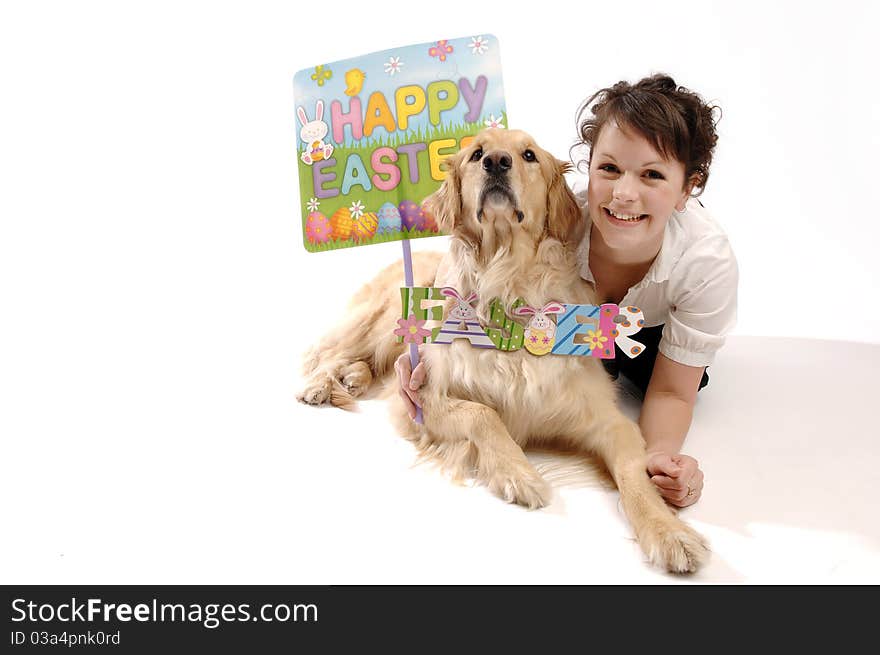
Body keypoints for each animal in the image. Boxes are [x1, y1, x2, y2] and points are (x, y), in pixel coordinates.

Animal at [300, 129, 712, 576]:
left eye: (528, 155)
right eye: (476, 153)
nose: (496, 162)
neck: (508, 279)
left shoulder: (608, 421)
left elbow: (635, 475)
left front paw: (669, 532)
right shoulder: (422, 398)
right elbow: (484, 414)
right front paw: (519, 473)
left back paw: (353, 379)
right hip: (386, 318)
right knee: (334, 351)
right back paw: (322, 384)